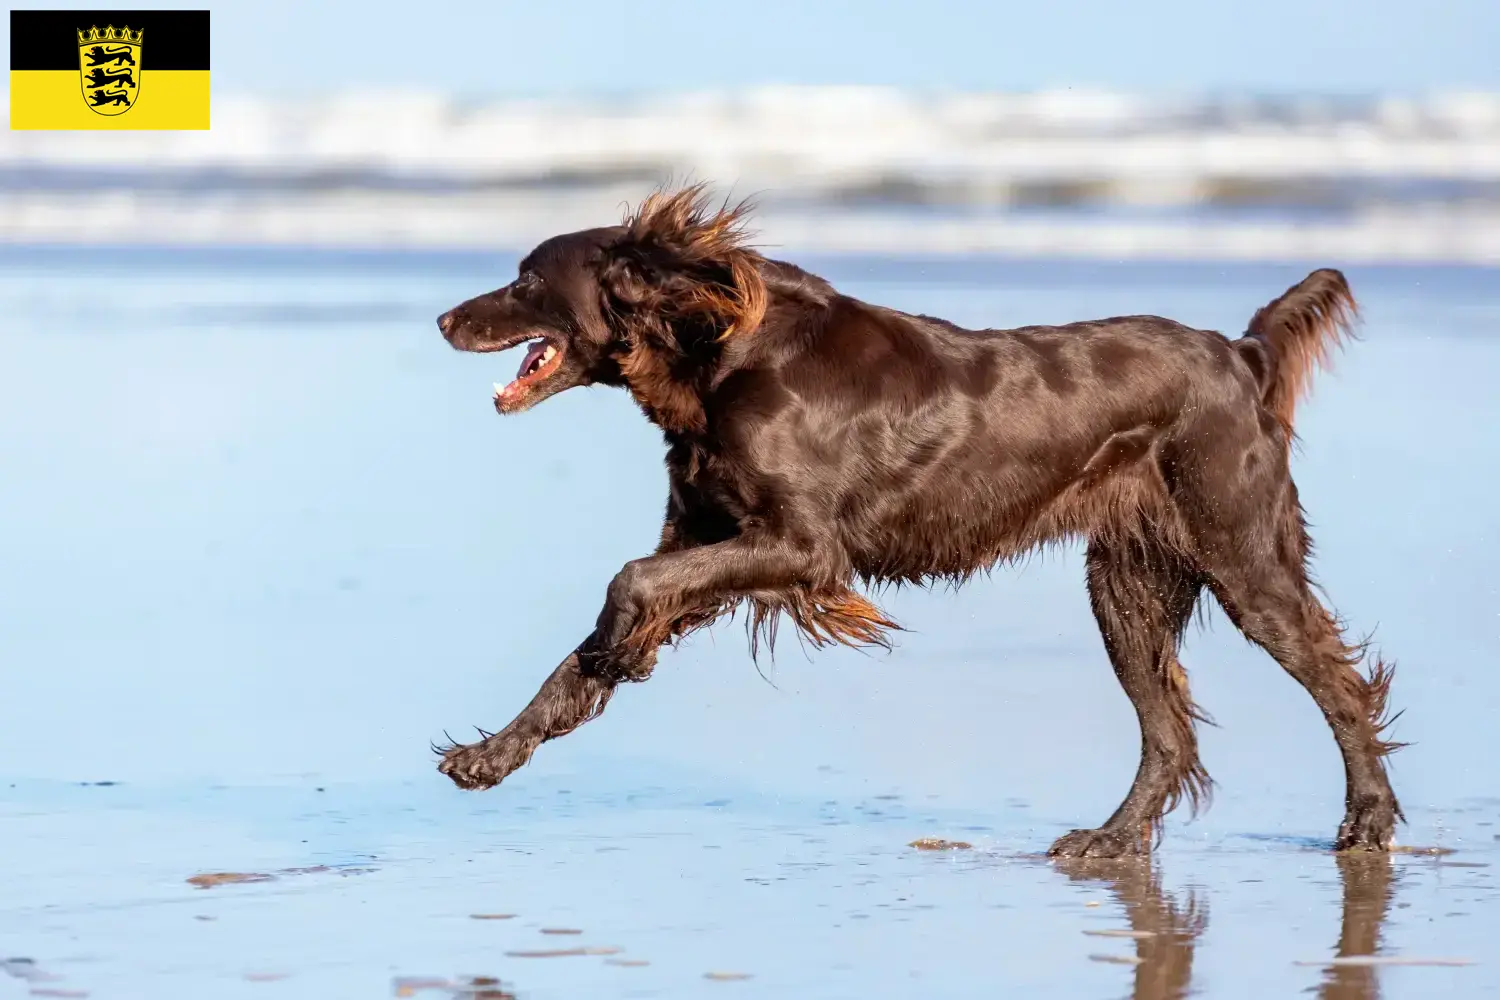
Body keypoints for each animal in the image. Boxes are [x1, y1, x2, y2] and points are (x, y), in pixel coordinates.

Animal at [429, 183, 1398, 857]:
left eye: (525, 279)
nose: (443, 317)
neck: (723, 352)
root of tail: (1240, 355)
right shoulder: (710, 538)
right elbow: (601, 631)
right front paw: (495, 752)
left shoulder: (800, 546)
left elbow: (629, 581)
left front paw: (616, 648)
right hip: (1123, 586)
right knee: (1168, 733)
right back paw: (1112, 841)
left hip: (1241, 553)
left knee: (1338, 684)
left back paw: (1369, 821)